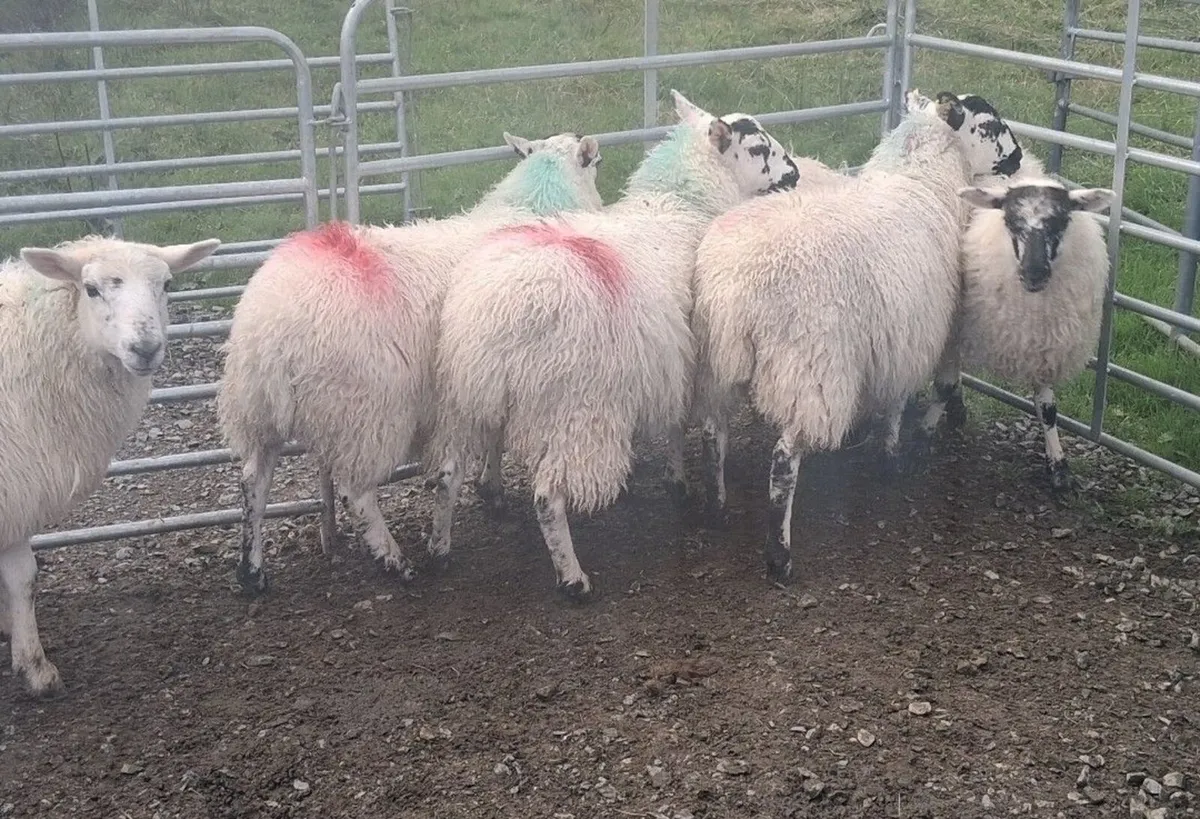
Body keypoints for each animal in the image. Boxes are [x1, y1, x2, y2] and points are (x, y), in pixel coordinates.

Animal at [1, 236, 220, 697]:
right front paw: (35, 668)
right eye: (91, 289)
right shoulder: (15, 489)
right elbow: (24, 578)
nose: (145, 348)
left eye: (167, 284)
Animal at [216, 131, 604, 596]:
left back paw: (252, 571)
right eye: (598, 163)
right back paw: (393, 560)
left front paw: (491, 491)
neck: (534, 204)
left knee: (252, 482)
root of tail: (270, 330)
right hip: (365, 411)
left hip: (256, 410)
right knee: (354, 491)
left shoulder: (486, 379)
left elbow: (493, 436)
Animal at [427, 90, 800, 599]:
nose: (796, 174)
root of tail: (499, 314)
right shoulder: (689, 358)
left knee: (446, 476)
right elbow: (687, 427)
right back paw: (573, 580)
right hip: (574, 407)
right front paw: (689, 489)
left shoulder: (669, 358)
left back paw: (439, 553)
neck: (678, 203)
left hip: (463, 397)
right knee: (546, 496)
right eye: (760, 148)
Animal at [690, 89, 1021, 584]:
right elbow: (898, 403)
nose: (1017, 158)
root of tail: (737, 286)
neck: (921, 181)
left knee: (714, 434)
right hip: (811, 367)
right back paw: (779, 556)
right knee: (783, 462)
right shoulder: (909, 334)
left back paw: (715, 508)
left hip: (718, 360)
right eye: (989, 125)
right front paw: (891, 460)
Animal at [937, 177, 1114, 490]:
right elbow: (943, 385)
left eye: (1061, 221)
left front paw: (1058, 466)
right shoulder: (954, 330)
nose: (1034, 273)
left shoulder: (1043, 347)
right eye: (1010, 221)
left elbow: (1048, 408)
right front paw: (921, 431)